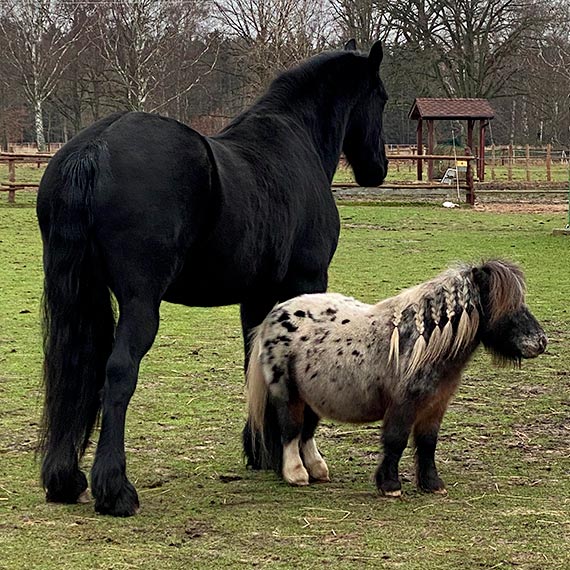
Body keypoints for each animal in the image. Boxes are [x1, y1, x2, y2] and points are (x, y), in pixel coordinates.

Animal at [37, 37, 388, 512]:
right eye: (381, 98)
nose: (378, 168)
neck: (295, 142)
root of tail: (95, 147)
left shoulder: (257, 298)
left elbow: (257, 366)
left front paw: (265, 452)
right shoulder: (307, 283)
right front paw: (304, 460)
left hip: (80, 295)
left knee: (75, 367)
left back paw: (65, 480)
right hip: (139, 303)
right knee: (118, 372)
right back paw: (115, 490)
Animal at [244, 260, 544, 494]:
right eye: (508, 307)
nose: (541, 341)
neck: (420, 343)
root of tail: (275, 314)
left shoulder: (435, 406)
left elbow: (427, 443)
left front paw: (432, 484)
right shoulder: (404, 404)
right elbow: (396, 440)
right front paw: (390, 485)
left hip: (313, 396)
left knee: (306, 432)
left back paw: (318, 470)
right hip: (288, 394)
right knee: (291, 429)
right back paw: (296, 474)